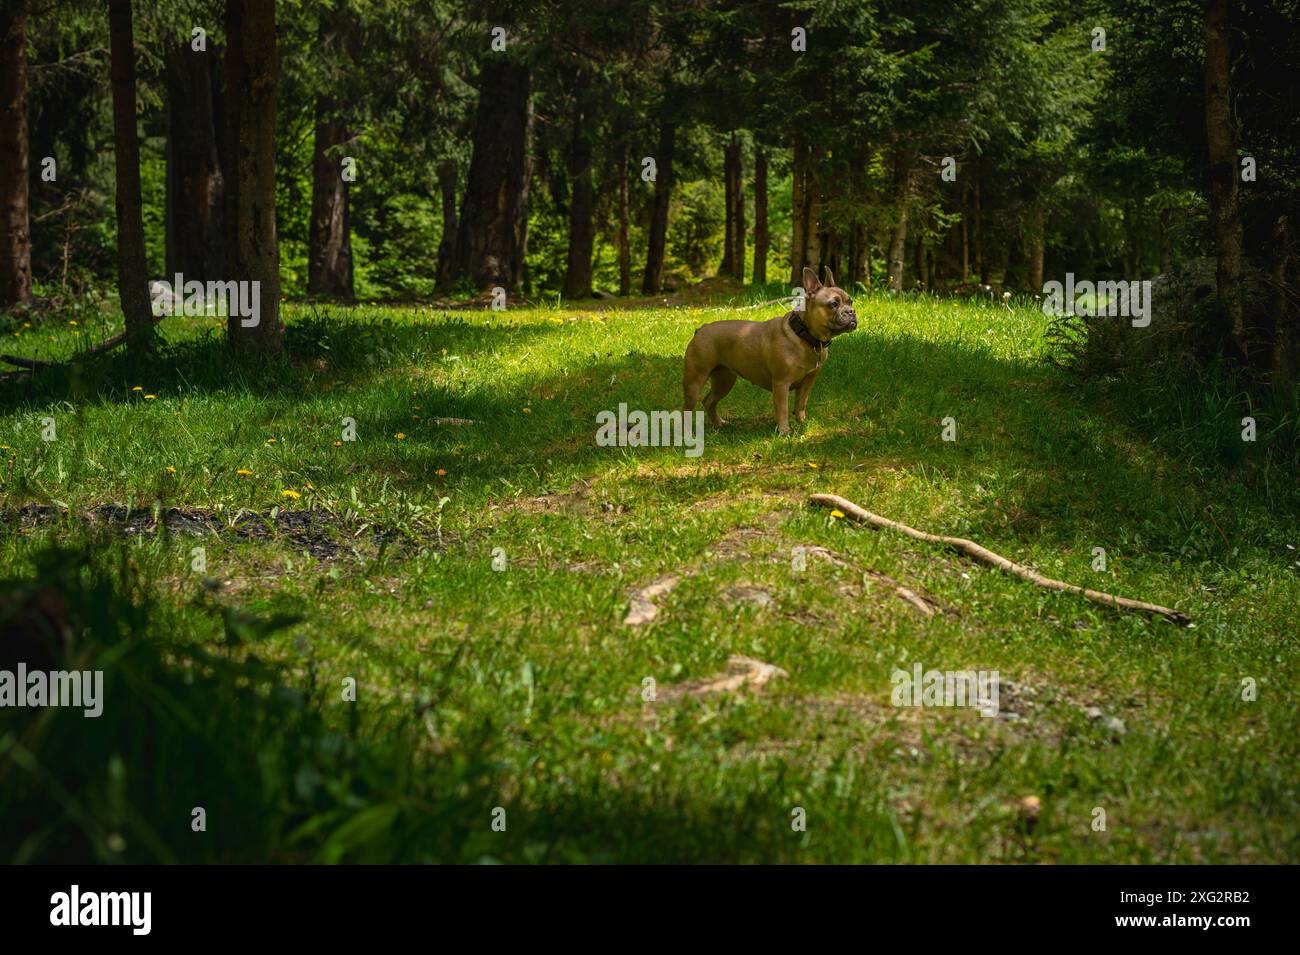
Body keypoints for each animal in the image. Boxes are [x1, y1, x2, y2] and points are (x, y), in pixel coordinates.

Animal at [686, 267, 857, 433]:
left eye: (851, 301)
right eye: (833, 304)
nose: (851, 311)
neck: (805, 335)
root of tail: (702, 329)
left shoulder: (808, 381)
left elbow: (801, 404)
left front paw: (802, 423)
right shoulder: (781, 383)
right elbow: (782, 409)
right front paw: (785, 431)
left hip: (724, 380)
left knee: (709, 401)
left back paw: (719, 423)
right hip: (695, 380)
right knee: (687, 408)